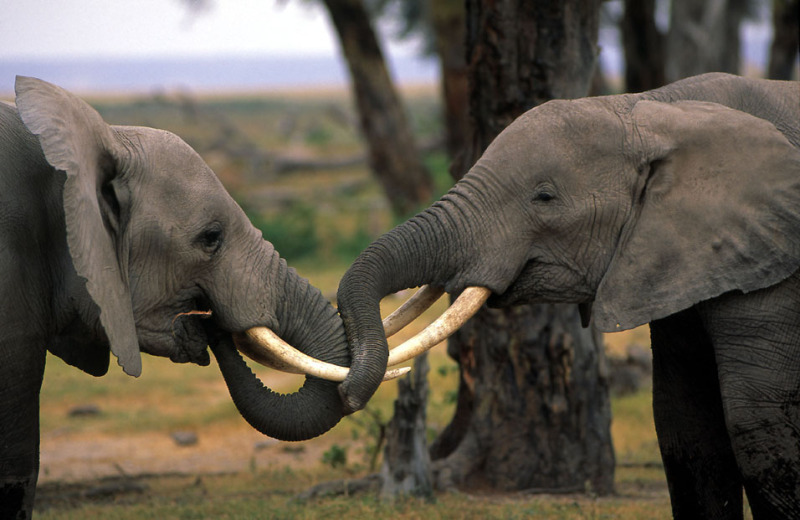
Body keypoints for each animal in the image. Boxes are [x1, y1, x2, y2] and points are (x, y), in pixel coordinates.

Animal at [332, 73, 800, 519]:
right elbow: (684, 425)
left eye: (544, 196)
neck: (654, 109)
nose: (348, 397)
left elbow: (755, 421)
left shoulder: (771, 266)